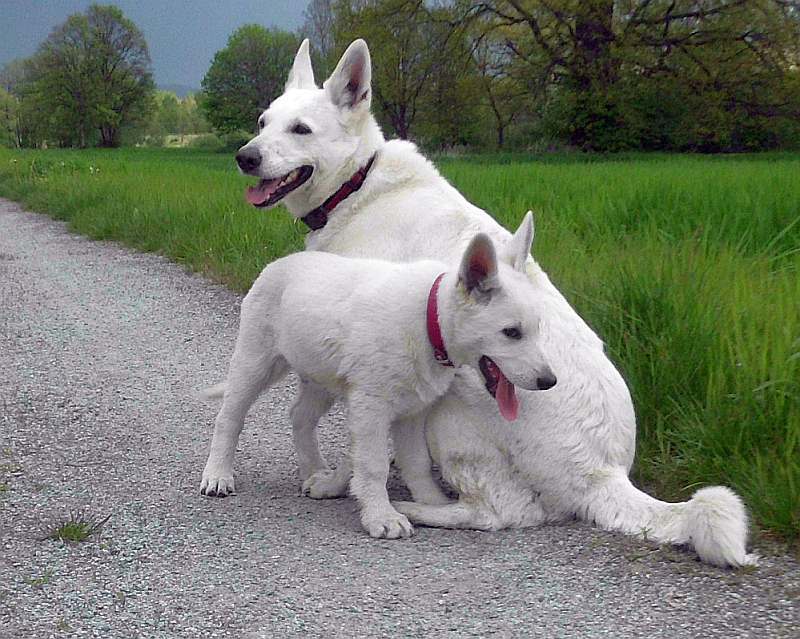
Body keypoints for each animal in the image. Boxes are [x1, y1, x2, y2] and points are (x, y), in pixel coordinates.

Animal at [202, 218, 556, 536]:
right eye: (511, 333)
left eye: (536, 328)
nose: (548, 381)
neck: (429, 322)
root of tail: (280, 263)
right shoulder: (371, 407)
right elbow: (374, 466)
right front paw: (381, 517)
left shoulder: (413, 411)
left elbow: (416, 463)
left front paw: (431, 502)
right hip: (255, 361)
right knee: (229, 418)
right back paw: (218, 474)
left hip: (321, 378)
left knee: (300, 416)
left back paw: (315, 472)